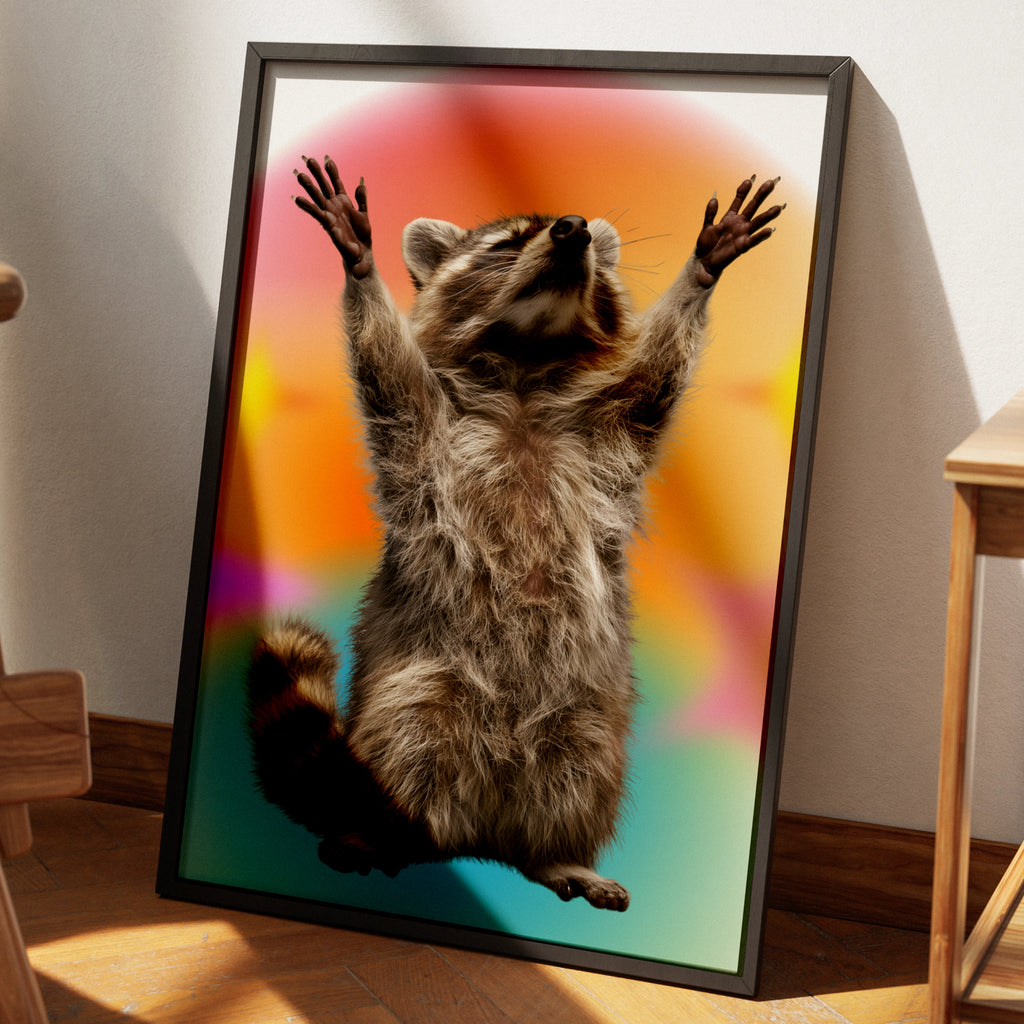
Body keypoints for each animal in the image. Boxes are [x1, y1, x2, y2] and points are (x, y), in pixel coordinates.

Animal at [246, 155, 783, 911]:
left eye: (585, 245)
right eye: (506, 244)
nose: (572, 229)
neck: (528, 366)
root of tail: (483, 828)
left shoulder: (609, 431)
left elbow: (656, 374)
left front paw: (701, 271)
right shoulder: (425, 432)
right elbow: (388, 367)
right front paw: (360, 266)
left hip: (589, 713)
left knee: (582, 770)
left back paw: (556, 856)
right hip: (424, 685)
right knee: (407, 739)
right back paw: (388, 835)